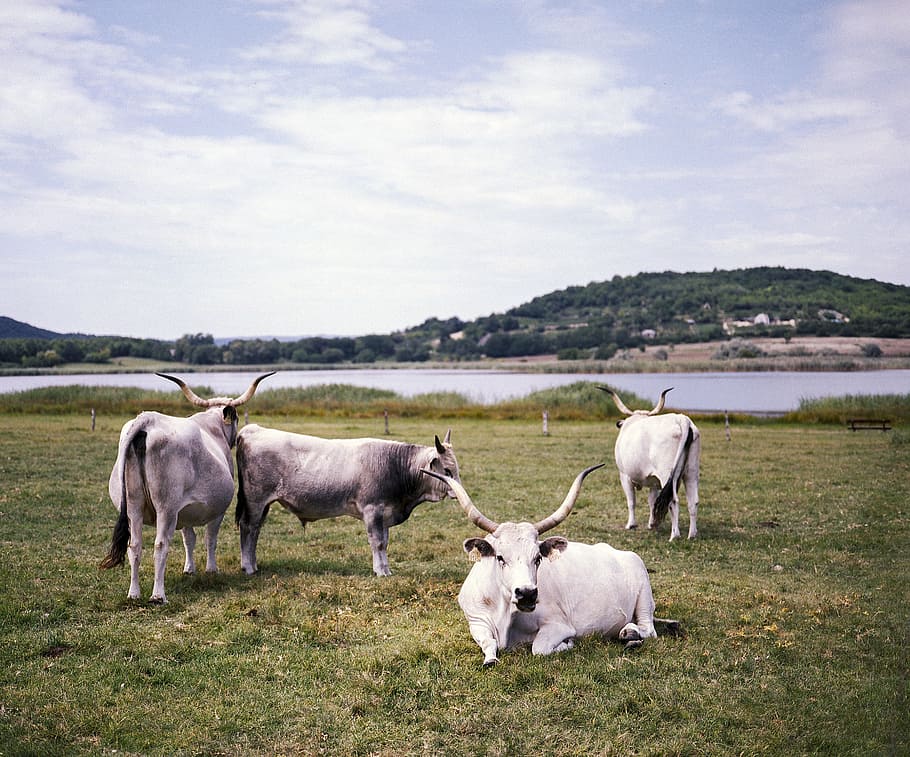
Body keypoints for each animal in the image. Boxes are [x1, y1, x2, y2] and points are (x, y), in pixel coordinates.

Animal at [100, 372, 274, 602]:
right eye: (236, 417)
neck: (212, 427)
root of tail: (147, 420)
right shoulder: (217, 510)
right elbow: (210, 538)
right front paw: (211, 569)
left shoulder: (183, 512)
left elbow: (189, 539)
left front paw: (189, 569)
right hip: (166, 508)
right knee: (160, 545)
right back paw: (158, 596)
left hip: (133, 506)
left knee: (134, 545)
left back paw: (134, 593)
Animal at [234, 425, 460, 576]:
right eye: (447, 470)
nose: (459, 492)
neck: (396, 465)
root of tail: (253, 429)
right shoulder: (372, 510)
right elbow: (378, 542)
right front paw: (380, 571)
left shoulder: (384, 514)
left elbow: (385, 543)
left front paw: (386, 569)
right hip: (255, 500)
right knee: (248, 527)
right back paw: (248, 567)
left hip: (264, 504)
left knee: (255, 530)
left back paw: (253, 564)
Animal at [421, 465, 673, 667]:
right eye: (500, 557)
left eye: (538, 558)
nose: (527, 594)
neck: (505, 614)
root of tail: (623, 552)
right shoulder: (476, 622)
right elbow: (488, 643)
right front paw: (490, 659)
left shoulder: (559, 625)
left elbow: (539, 649)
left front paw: (567, 645)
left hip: (644, 597)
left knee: (648, 629)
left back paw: (630, 634)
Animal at [600, 386, 700, 541]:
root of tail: (681, 419)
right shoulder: (654, 481)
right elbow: (652, 501)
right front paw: (652, 524)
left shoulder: (624, 476)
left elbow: (631, 501)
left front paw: (631, 524)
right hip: (691, 472)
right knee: (693, 501)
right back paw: (692, 535)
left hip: (667, 475)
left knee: (673, 501)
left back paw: (674, 535)